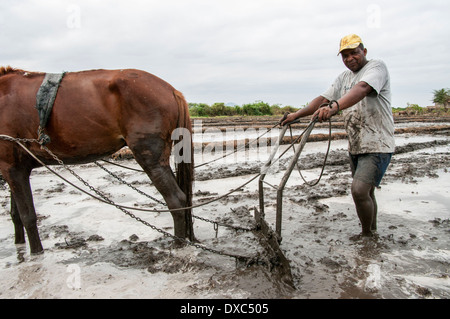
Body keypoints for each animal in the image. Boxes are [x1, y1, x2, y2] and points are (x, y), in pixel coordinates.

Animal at [0, 67, 193, 255]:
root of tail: (171, 90)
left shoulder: (11, 168)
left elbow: (27, 216)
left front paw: (36, 253)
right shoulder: (16, 168)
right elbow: (16, 214)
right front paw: (19, 245)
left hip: (150, 156)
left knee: (176, 199)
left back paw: (178, 243)